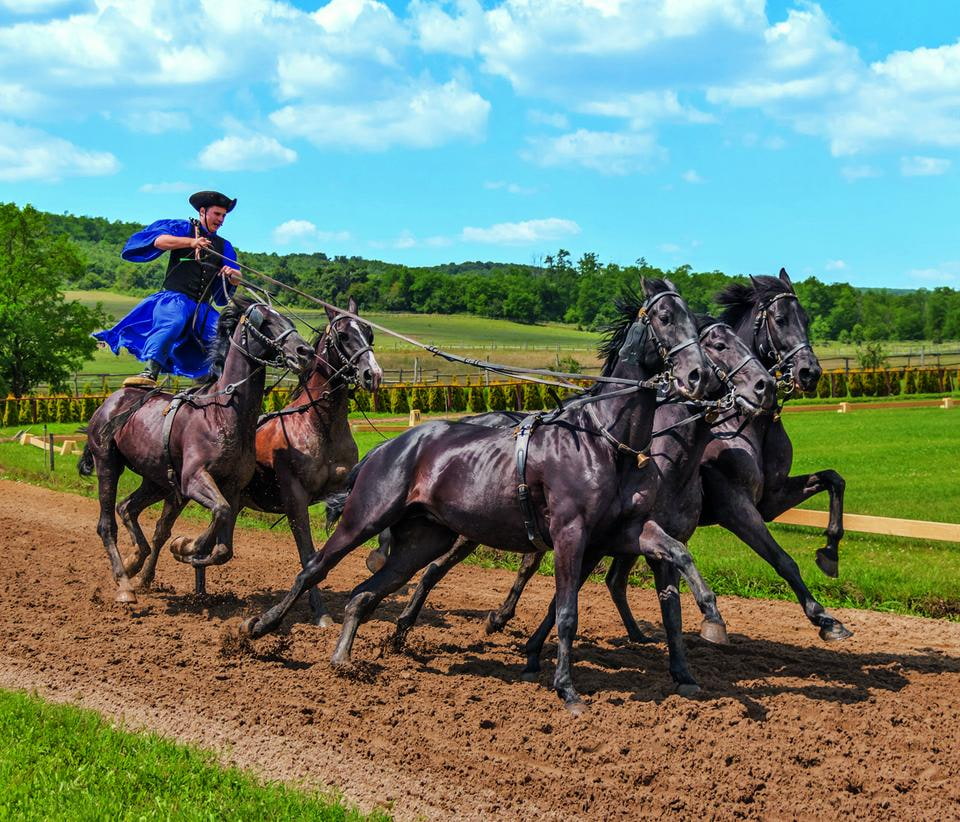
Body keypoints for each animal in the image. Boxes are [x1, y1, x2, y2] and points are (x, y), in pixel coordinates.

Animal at [79, 298, 312, 604]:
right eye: (265, 321)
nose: (304, 351)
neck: (221, 413)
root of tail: (110, 402)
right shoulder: (193, 479)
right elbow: (220, 512)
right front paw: (186, 546)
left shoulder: (232, 487)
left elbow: (224, 546)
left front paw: (188, 549)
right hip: (108, 463)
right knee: (107, 524)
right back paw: (124, 584)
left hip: (157, 480)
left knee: (127, 507)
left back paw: (135, 561)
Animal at [238, 280, 720, 712]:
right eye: (665, 317)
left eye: (695, 320)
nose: (697, 375)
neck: (601, 438)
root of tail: (389, 446)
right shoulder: (571, 534)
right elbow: (567, 612)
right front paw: (567, 689)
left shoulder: (621, 531)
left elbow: (677, 552)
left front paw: (711, 616)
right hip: (365, 518)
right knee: (314, 569)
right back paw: (261, 626)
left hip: (423, 540)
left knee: (364, 594)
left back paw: (342, 658)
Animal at [386, 316, 776, 696]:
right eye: (718, 344)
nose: (765, 386)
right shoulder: (594, 539)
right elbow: (572, 597)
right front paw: (535, 655)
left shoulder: (635, 538)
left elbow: (669, 604)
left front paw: (684, 670)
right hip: (472, 528)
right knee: (434, 569)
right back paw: (409, 625)